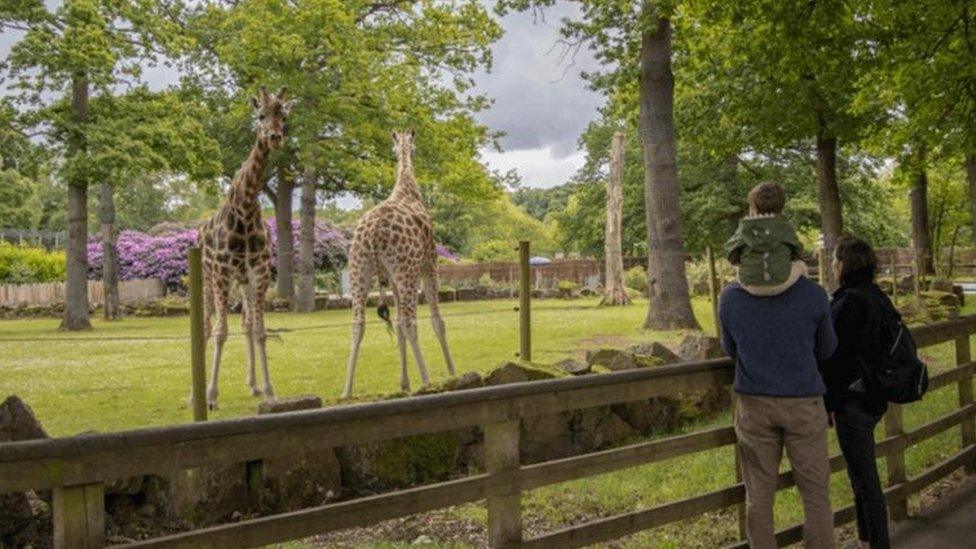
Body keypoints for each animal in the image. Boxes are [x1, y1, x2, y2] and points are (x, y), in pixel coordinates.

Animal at [197, 85, 290, 408]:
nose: (275, 137)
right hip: (208, 280)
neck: (247, 208)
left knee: (246, 324)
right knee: (207, 326)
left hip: (241, 282)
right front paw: (211, 396)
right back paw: (197, 393)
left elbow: (259, 331)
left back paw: (252, 385)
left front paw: (270, 391)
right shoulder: (222, 273)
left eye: (283, 116)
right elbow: (221, 332)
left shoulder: (258, 274)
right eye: (260, 115)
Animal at [344, 129, 458, 398]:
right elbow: (437, 321)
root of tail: (373, 233)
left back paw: (346, 392)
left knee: (358, 324)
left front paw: (404, 382)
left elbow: (395, 322)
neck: (407, 187)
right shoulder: (429, 263)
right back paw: (427, 381)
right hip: (407, 272)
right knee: (409, 321)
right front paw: (452, 373)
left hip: (359, 270)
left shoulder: (392, 278)